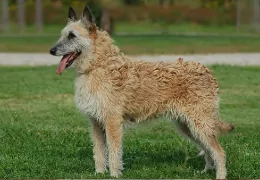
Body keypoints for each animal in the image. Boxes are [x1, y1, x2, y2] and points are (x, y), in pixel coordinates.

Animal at [49, 5, 235, 180]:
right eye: (62, 35)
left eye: (72, 36)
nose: (51, 50)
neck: (98, 64)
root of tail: (208, 72)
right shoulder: (95, 122)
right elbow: (99, 152)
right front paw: (99, 173)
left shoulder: (112, 121)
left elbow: (114, 152)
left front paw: (114, 175)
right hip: (188, 125)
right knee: (207, 149)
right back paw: (206, 170)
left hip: (199, 123)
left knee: (219, 152)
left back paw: (220, 175)